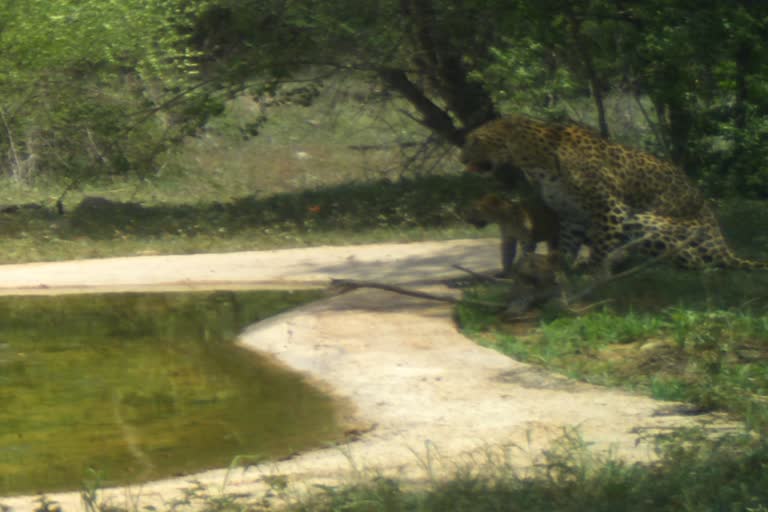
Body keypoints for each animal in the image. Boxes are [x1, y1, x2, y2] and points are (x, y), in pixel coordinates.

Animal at [460, 113, 764, 270]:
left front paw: (592, 270)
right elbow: (566, 245)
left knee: (694, 260)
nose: (462, 160)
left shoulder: (609, 208)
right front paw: (563, 268)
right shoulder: (570, 214)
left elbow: (602, 244)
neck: (536, 162)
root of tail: (725, 247)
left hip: (644, 219)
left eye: (476, 140)